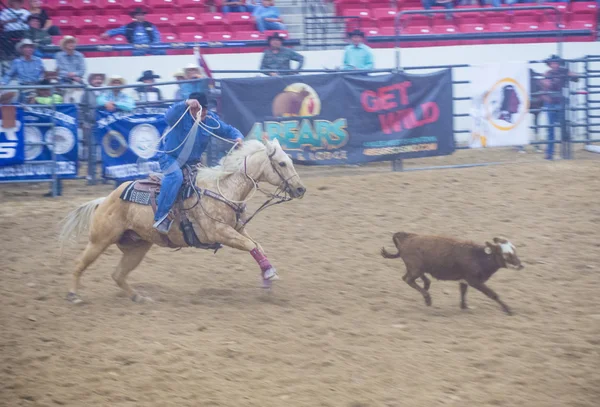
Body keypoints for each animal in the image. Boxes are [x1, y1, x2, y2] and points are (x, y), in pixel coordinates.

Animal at [59, 139, 308, 304]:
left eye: (290, 160)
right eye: (282, 163)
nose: (300, 189)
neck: (223, 189)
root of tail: (105, 200)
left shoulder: (237, 228)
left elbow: (257, 246)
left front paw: (267, 279)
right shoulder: (219, 231)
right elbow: (251, 245)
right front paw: (269, 275)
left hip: (137, 247)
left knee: (118, 275)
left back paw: (138, 297)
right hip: (99, 241)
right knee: (79, 264)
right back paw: (73, 295)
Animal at [382, 233, 524, 316]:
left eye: (514, 250)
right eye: (507, 254)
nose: (520, 265)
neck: (478, 257)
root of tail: (407, 238)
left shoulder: (464, 280)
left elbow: (463, 292)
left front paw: (464, 307)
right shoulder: (474, 281)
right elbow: (493, 294)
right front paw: (508, 310)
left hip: (416, 268)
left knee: (417, 279)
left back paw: (426, 289)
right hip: (415, 268)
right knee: (407, 279)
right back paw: (427, 298)